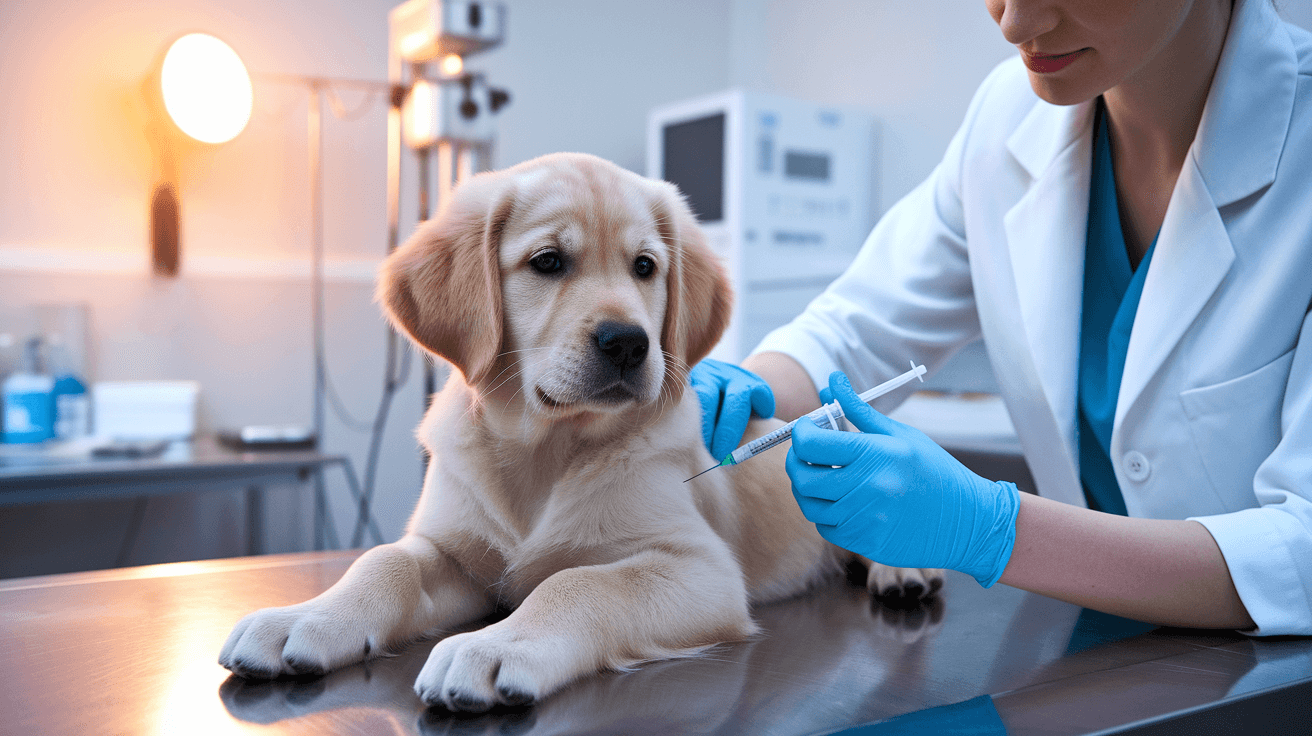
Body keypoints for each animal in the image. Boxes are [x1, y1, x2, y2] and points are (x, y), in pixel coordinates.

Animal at [217, 152, 944, 708]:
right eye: (546, 262)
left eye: (646, 267)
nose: (629, 343)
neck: (545, 448)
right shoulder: (450, 549)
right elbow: (383, 560)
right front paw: (305, 618)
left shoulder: (700, 567)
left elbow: (579, 582)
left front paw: (495, 646)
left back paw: (905, 566)